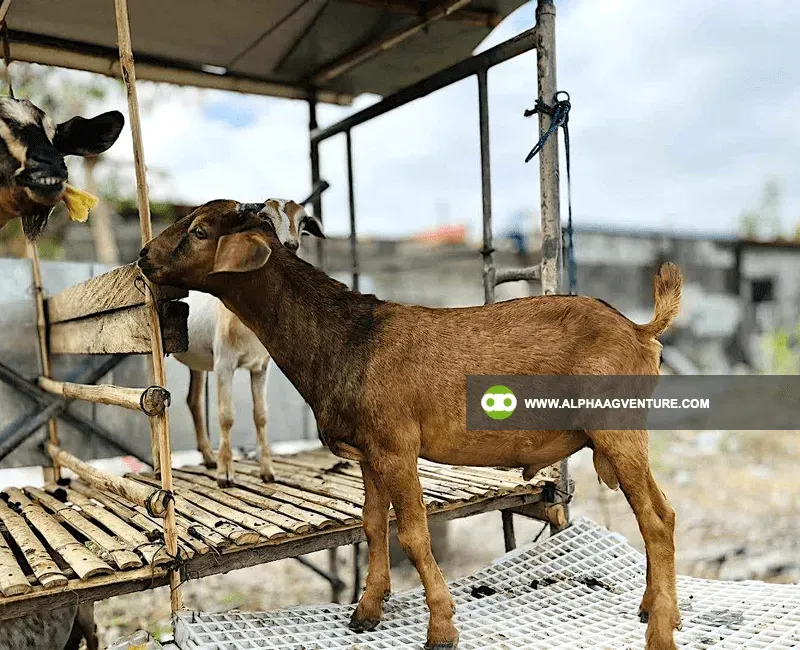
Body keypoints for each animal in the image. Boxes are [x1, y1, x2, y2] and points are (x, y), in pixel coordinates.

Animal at [172, 199, 325, 486]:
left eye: (303, 223)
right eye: (264, 220)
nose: (290, 245)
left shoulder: (261, 367)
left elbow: (261, 415)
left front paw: (267, 472)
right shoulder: (224, 363)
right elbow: (226, 415)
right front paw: (225, 475)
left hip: (198, 362)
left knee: (194, 401)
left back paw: (208, 457)